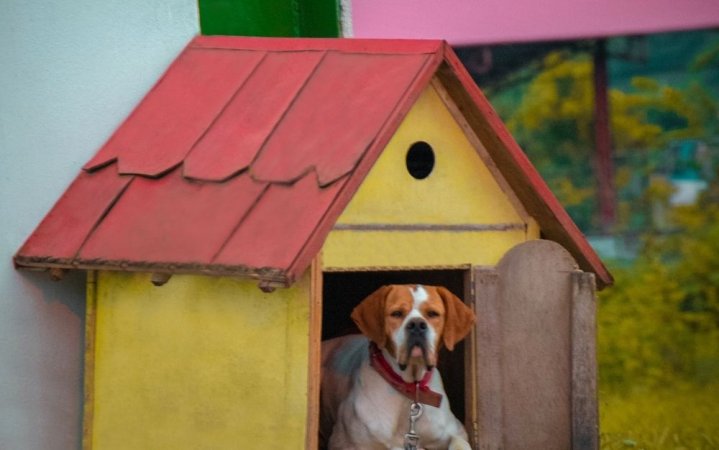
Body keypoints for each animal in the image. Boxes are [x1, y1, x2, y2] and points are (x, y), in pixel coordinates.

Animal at [322, 284, 478, 450]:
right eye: (396, 313)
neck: (409, 387)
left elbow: (460, 443)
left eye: (432, 314)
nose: (417, 325)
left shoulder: (457, 431)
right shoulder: (345, 443)